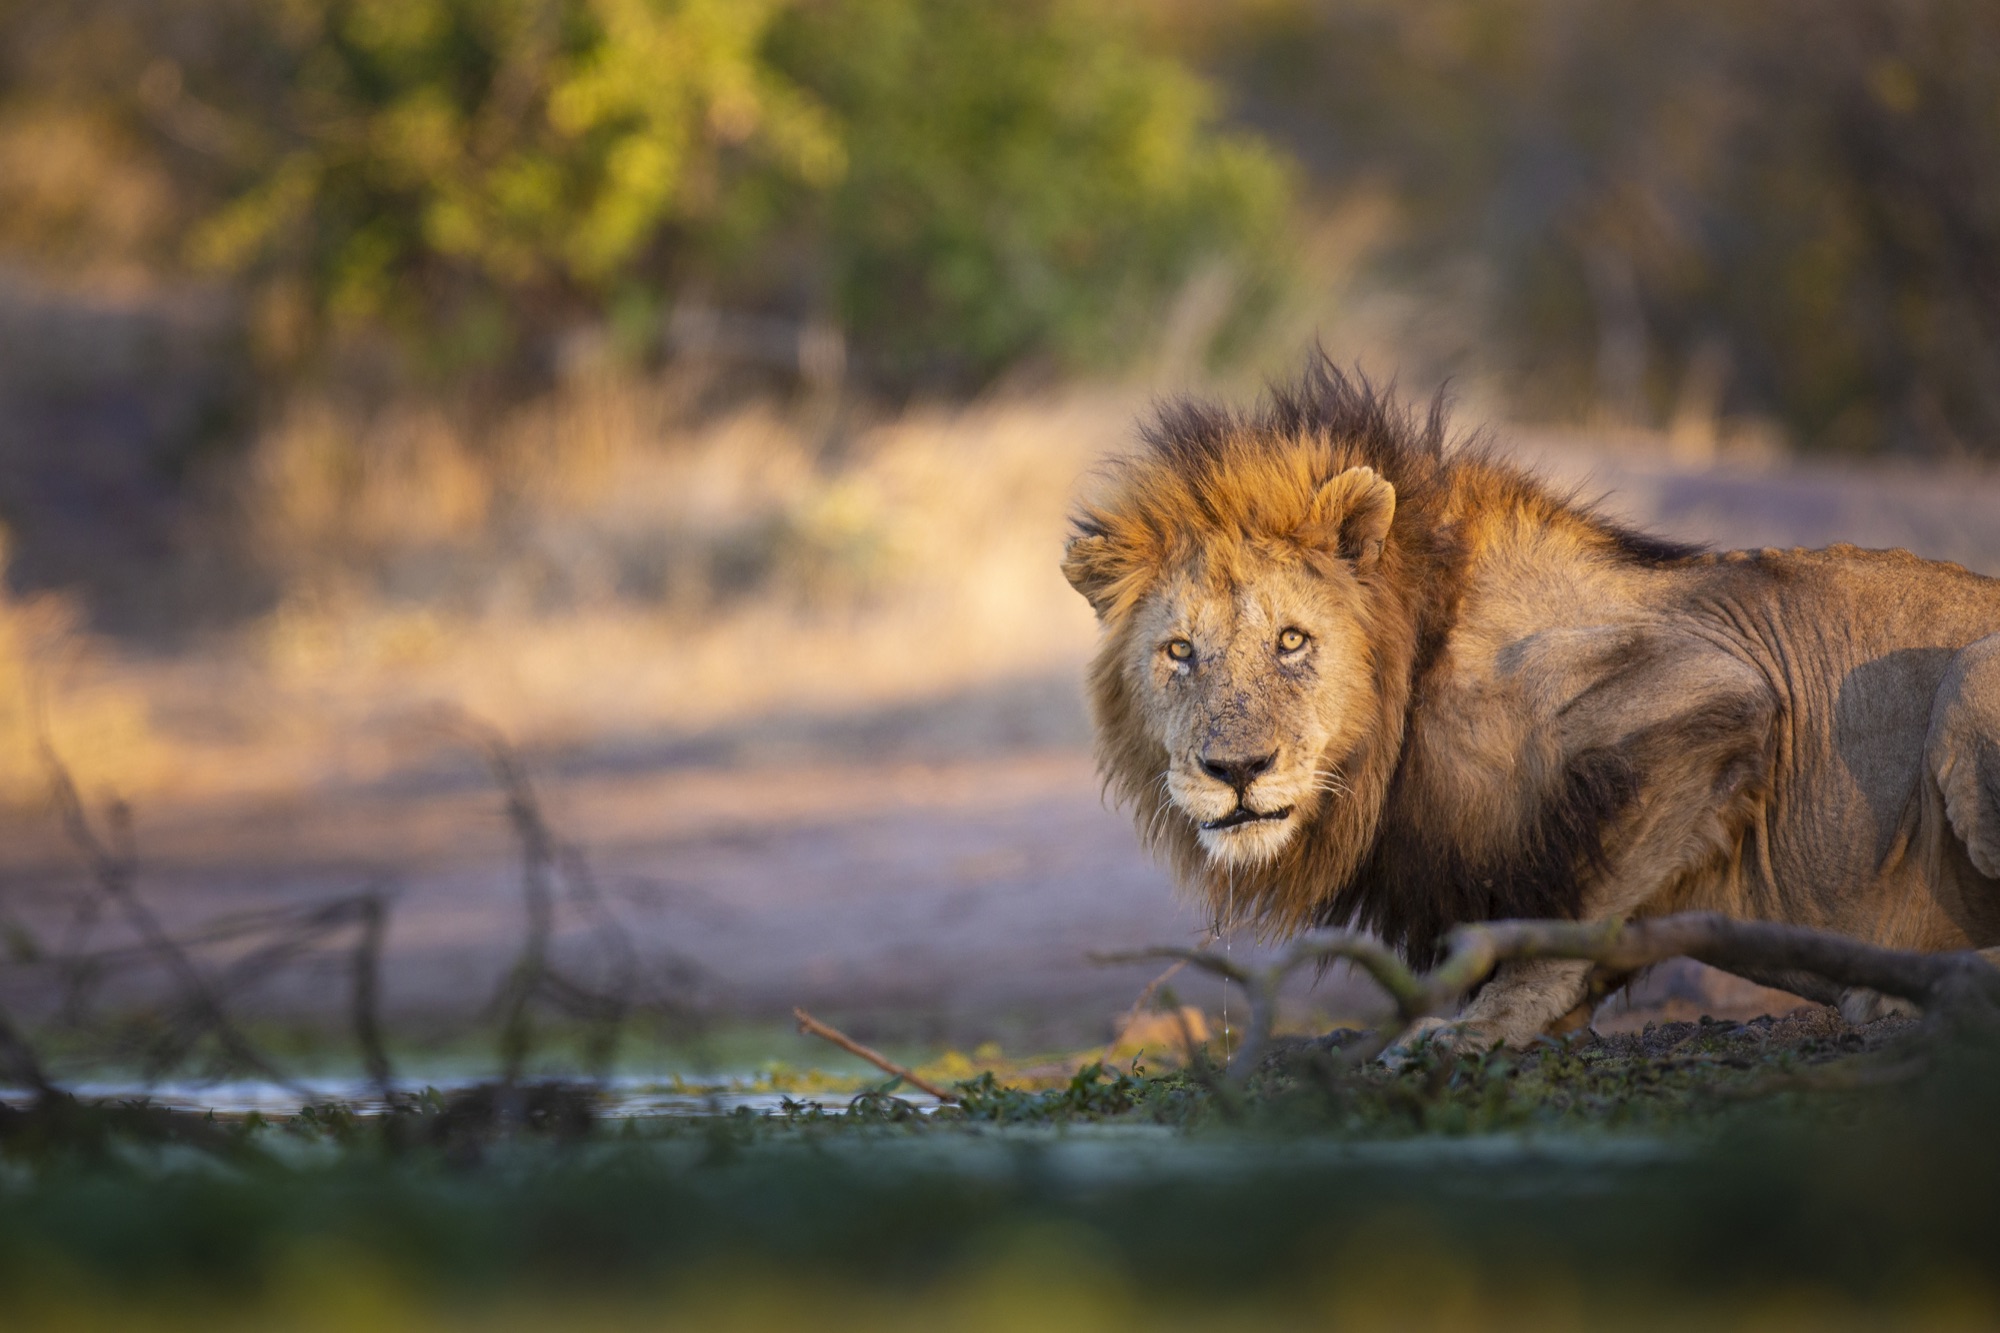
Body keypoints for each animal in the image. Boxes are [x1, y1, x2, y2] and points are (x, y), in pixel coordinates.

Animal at [1063, 358, 2000, 1049]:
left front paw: (1482, 1025)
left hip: (1969, 678)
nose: (1236, 769)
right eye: (1179, 652)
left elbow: (1571, 908)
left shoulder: (1719, 688)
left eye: (1292, 640)